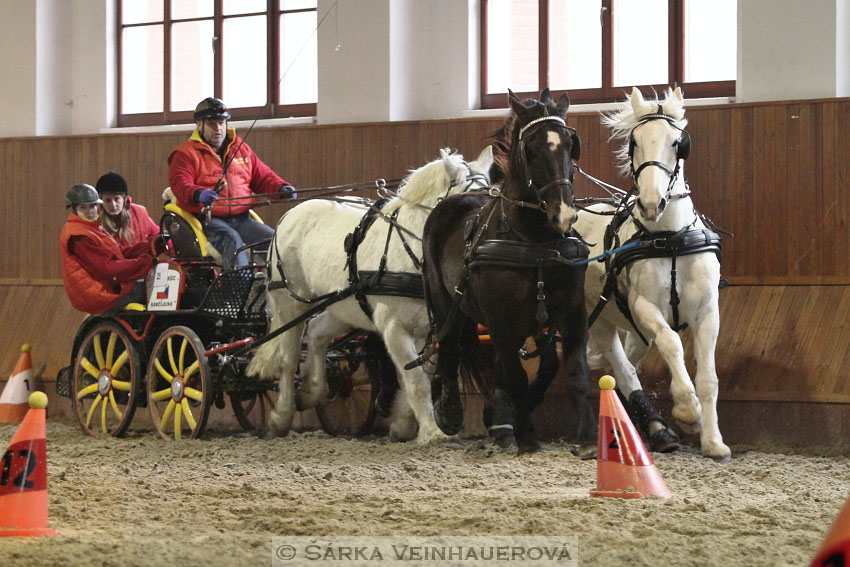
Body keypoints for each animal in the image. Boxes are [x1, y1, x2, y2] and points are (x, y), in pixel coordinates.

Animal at [243, 149, 490, 446]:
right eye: (468, 203)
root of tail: (291, 213)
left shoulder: (431, 328)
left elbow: (420, 374)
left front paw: (403, 423)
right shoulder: (394, 327)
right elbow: (416, 381)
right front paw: (432, 431)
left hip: (343, 306)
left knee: (317, 334)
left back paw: (313, 391)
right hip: (289, 303)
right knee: (289, 359)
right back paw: (281, 416)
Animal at [420, 90, 592, 458]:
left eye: (570, 145)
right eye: (532, 150)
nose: (563, 214)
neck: (536, 240)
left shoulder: (571, 314)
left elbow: (573, 370)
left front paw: (587, 438)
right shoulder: (501, 321)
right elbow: (515, 376)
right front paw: (525, 435)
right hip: (446, 304)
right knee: (450, 348)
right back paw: (452, 411)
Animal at [576, 87, 728, 462]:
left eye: (678, 143)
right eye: (634, 143)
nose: (649, 203)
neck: (671, 239)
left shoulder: (708, 312)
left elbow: (708, 378)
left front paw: (713, 440)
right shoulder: (644, 306)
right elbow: (672, 342)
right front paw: (688, 409)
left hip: (633, 329)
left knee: (625, 367)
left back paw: (653, 429)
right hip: (599, 320)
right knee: (624, 370)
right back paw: (655, 428)